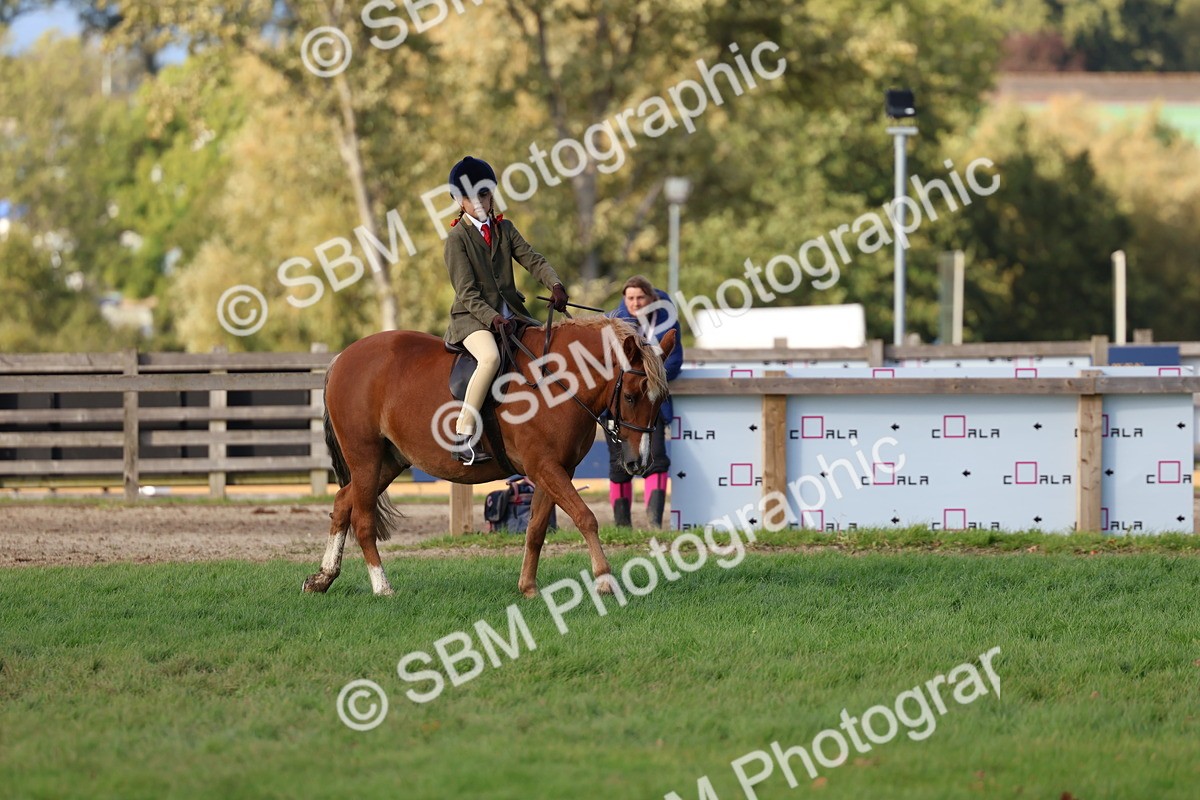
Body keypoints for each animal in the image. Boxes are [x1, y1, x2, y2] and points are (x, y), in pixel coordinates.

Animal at [302, 316, 677, 597]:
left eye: (660, 400)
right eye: (630, 396)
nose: (639, 462)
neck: (556, 380)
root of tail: (342, 358)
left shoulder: (555, 470)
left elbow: (536, 529)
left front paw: (528, 588)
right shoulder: (545, 467)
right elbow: (586, 518)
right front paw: (605, 581)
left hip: (388, 462)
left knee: (342, 503)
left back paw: (322, 578)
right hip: (365, 458)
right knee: (363, 519)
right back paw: (382, 586)